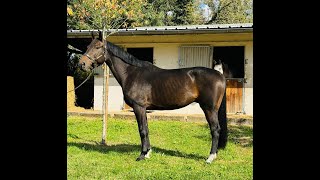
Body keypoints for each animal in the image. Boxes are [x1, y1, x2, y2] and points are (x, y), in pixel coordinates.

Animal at [78, 32, 226, 163]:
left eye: (98, 47)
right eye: (88, 46)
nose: (82, 64)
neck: (131, 73)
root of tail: (220, 75)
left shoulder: (139, 107)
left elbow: (142, 130)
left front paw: (142, 155)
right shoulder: (144, 109)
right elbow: (147, 129)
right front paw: (148, 152)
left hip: (209, 109)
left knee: (215, 130)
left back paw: (210, 157)